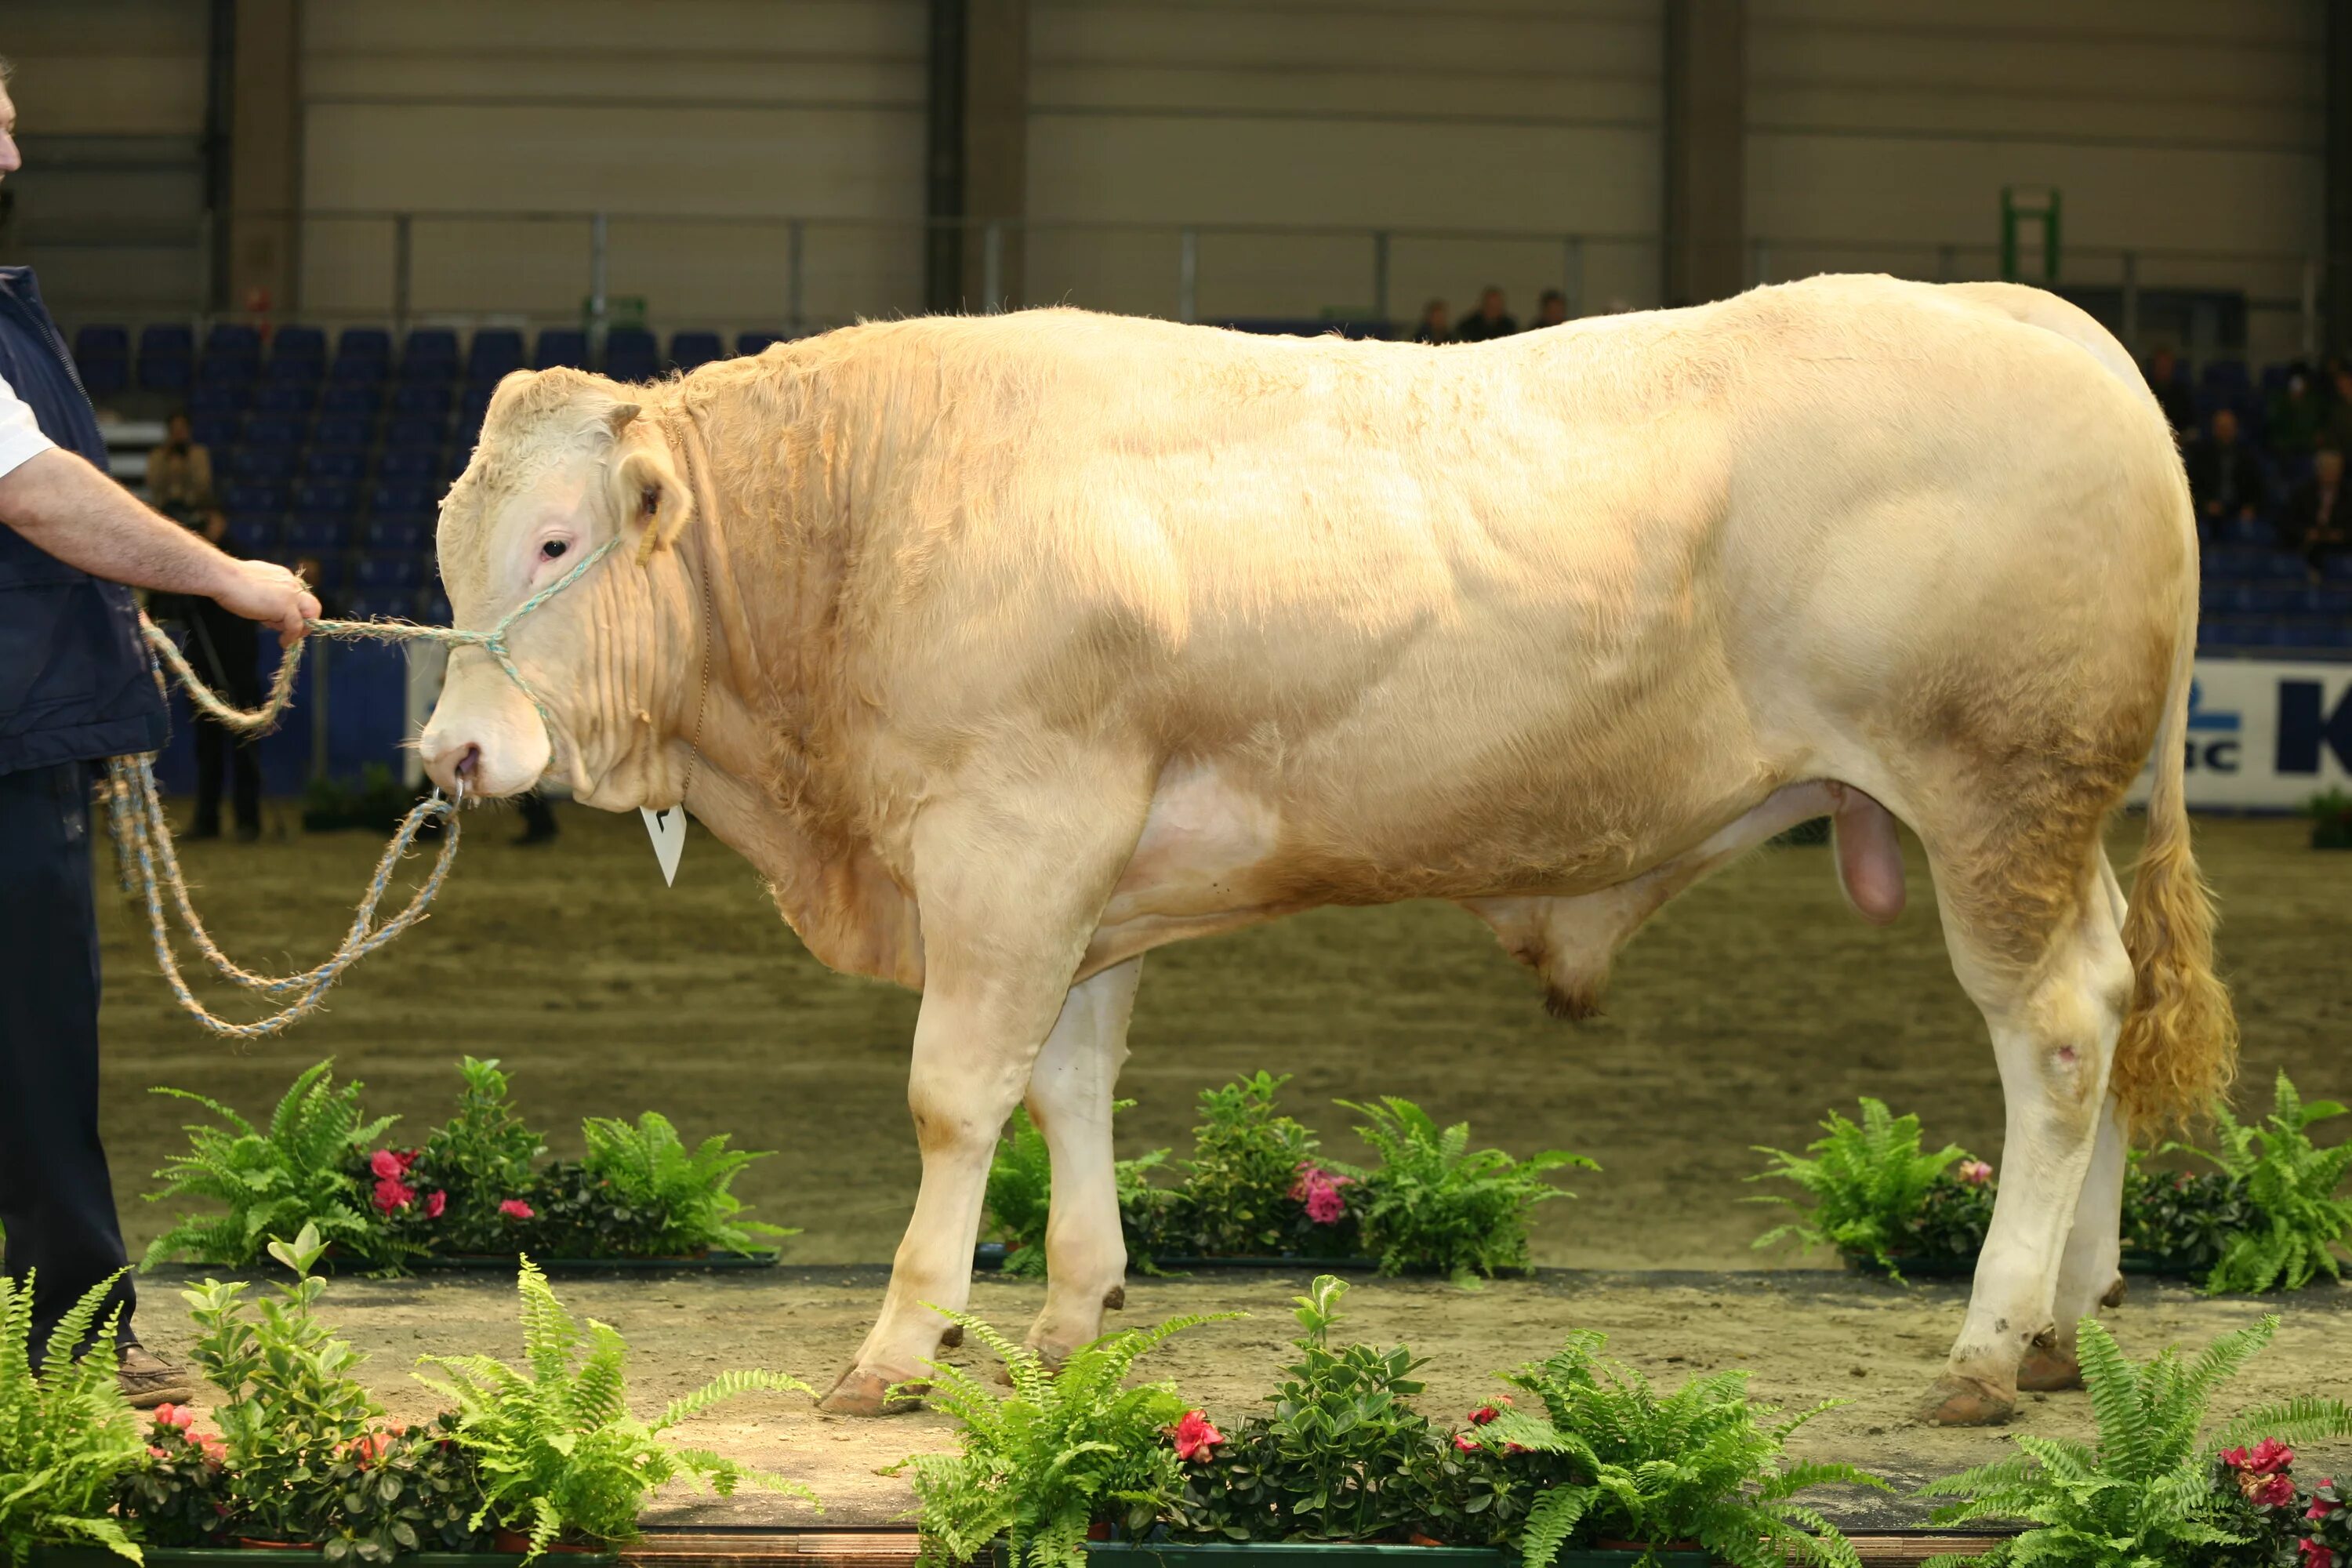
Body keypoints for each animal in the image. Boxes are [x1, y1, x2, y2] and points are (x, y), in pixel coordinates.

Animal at [414, 276, 2230, 1429]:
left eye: (558, 543)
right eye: (445, 548)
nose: (452, 754)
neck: (873, 520)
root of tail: (2030, 313)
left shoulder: (1011, 842)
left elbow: (955, 1097)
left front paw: (902, 1343)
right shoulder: (1085, 879)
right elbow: (1070, 1085)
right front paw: (1076, 1313)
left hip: (1995, 796)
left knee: (2054, 1036)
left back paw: (1988, 1346)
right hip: (2055, 825)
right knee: (2116, 999)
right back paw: (2065, 1325)